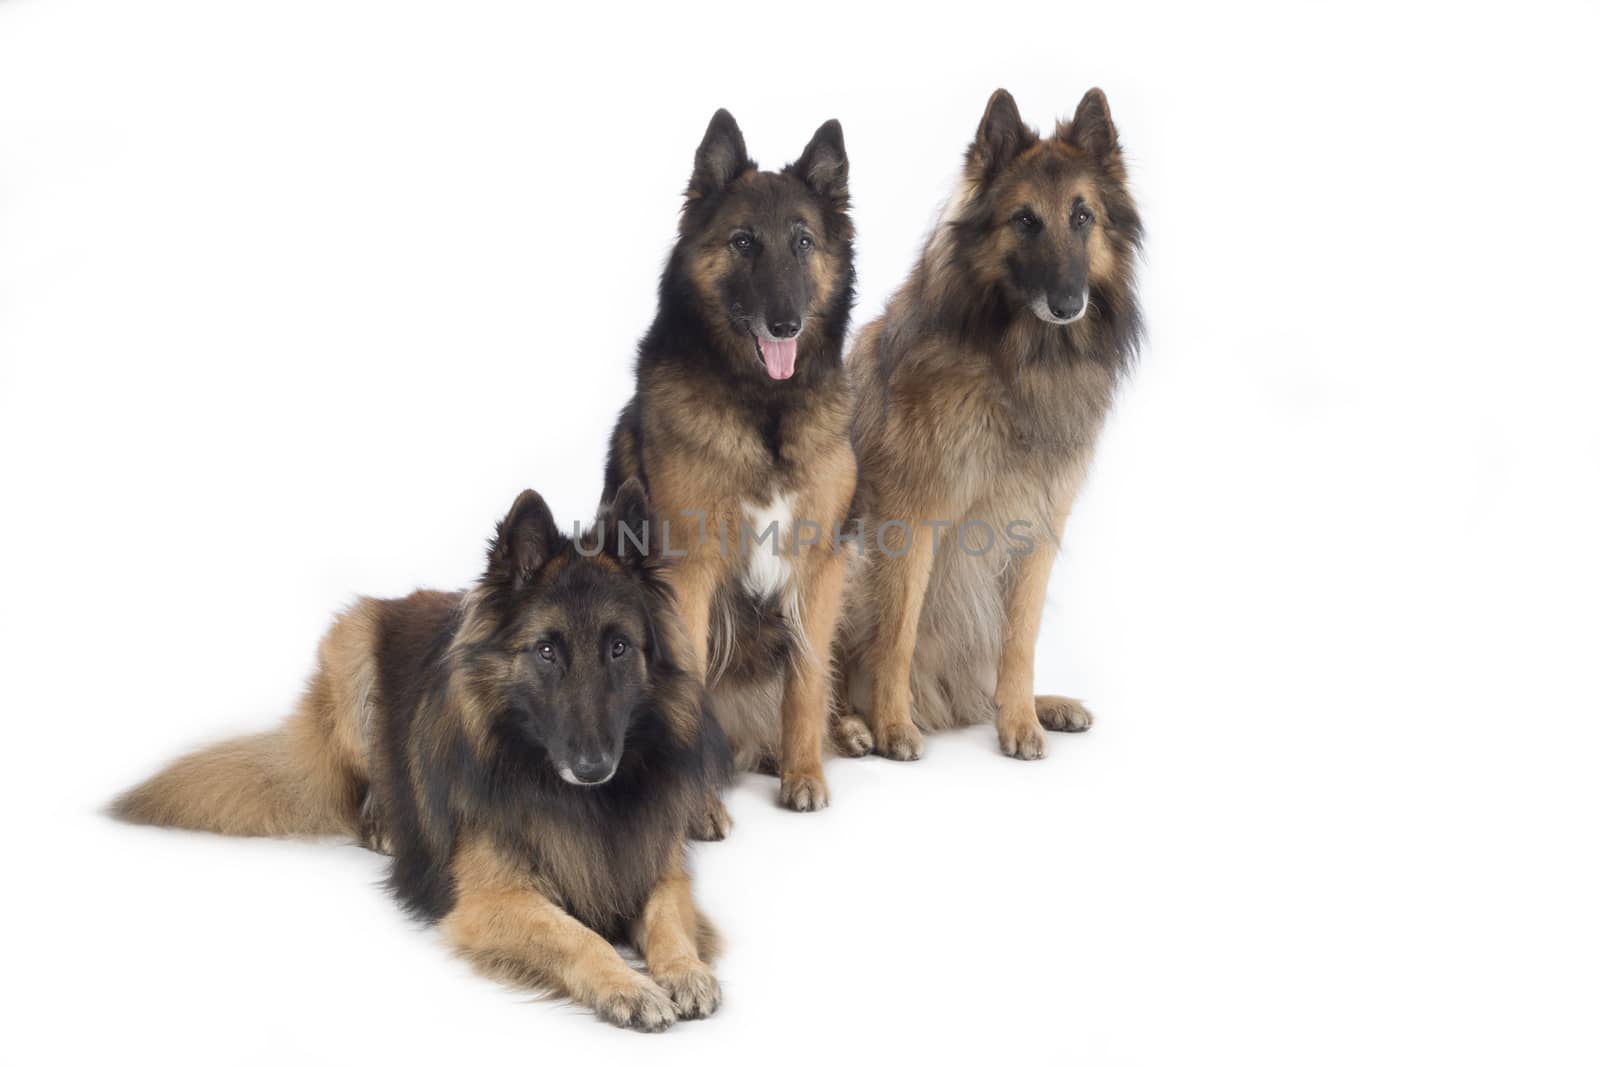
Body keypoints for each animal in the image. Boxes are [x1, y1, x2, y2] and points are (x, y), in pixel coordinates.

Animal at [114, 486, 732, 1036]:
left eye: (619, 648)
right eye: (547, 651)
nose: (593, 766)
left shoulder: (655, 865)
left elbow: (668, 921)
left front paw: (684, 971)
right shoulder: (491, 900)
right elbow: (580, 937)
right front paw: (628, 986)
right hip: (354, 657)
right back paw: (384, 827)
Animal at [601, 106, 857, 825]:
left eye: (803, 242)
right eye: (744, 242)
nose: (785, 323)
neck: (764, 409)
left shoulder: (819, 565)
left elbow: (807, 679)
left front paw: (804, 772)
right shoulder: (689, 568)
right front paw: (696, 810)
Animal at [832, 87, 1145, 764]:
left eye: (1083, 216)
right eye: (1024, 220)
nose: (1068, 303)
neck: (1016, 362)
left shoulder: (1038, 530)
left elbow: (1019, 641)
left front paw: (1021, 720)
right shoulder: (910, 520)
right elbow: (896, 633)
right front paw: (893, 726)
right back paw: (851, 726)